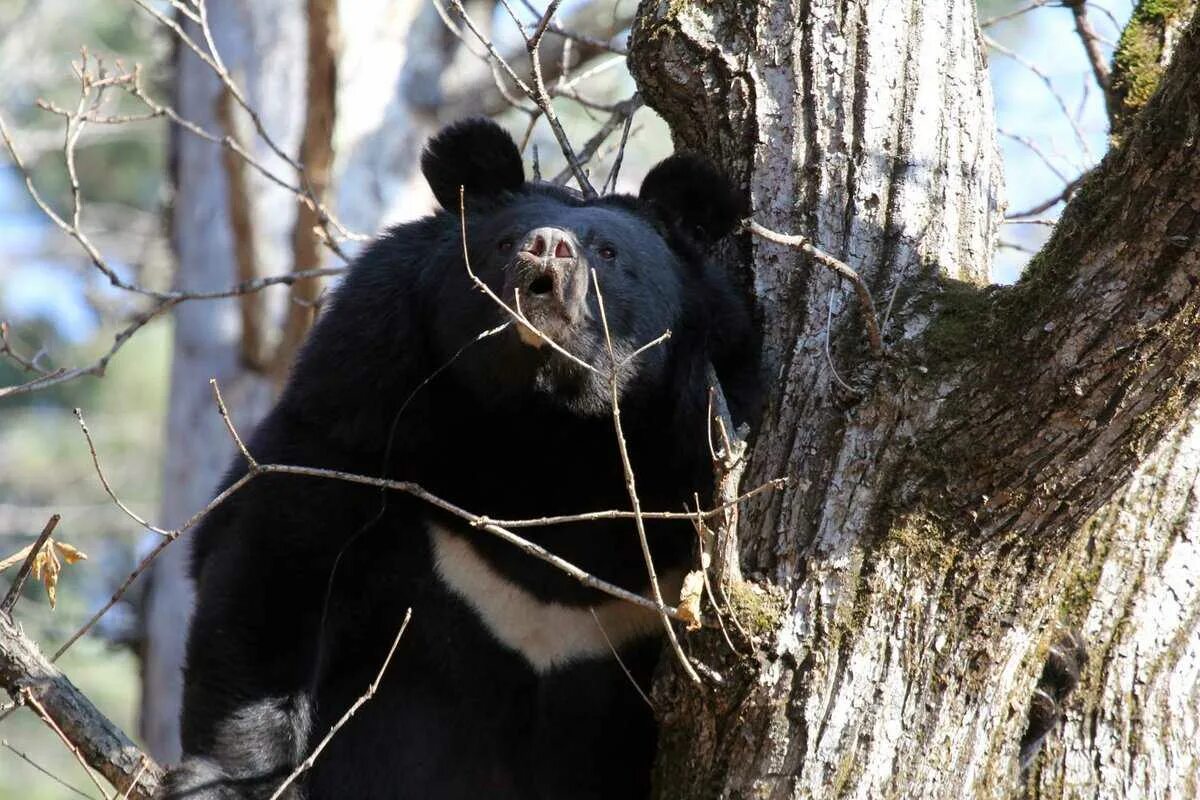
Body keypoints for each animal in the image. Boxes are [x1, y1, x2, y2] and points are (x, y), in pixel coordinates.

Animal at [162, 118, 758, 800]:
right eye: (503, 242)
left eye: (608, 253)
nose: (547, 248)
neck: (548, 431)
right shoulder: (359, 400)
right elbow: (277, 563)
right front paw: (231, 780)